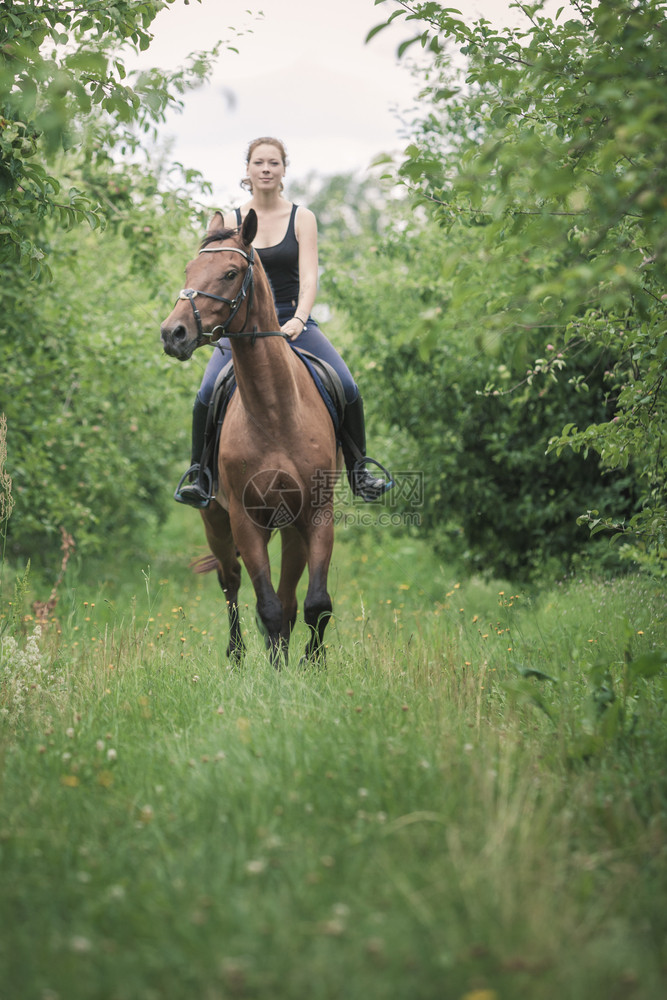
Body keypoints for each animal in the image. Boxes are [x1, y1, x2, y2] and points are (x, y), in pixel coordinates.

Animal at [160, 209, 340, 664]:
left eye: (230, 272)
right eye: (188, 270)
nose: (172, 333)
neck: (275, 411)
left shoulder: (316, 514)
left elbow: (314, 602)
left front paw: (311, 663)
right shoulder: (245, 519)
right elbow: (267, 605)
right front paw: (278, 670)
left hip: (291, 530)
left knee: (290, 596)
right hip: (215, 522)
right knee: (231, 582)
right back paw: (237, 653)